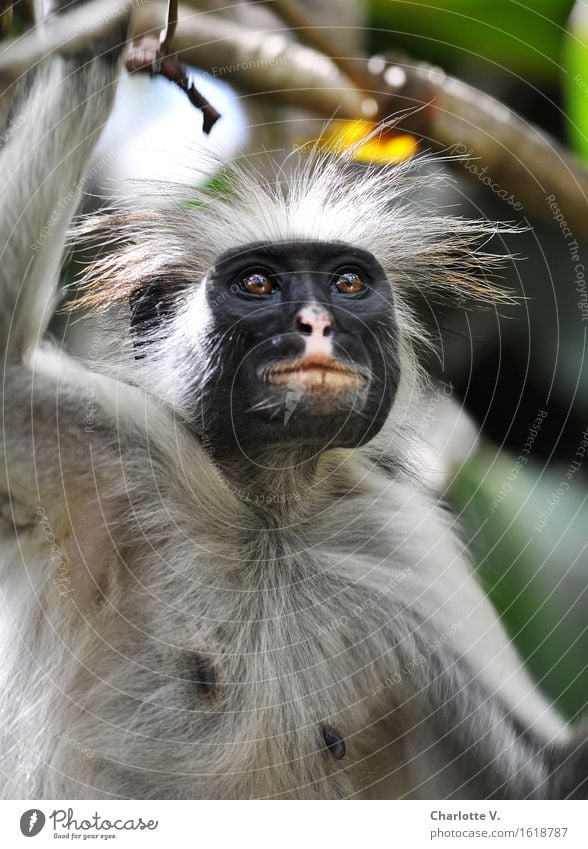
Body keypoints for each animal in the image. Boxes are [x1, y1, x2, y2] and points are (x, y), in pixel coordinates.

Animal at [0, 1, 584, 800]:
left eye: (346, 284)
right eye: (258, 285)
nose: (317, 325)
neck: (270, 512)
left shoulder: (401, 539)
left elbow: (550, 784)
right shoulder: (116, 453)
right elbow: (5, 374)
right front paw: (86, 25)